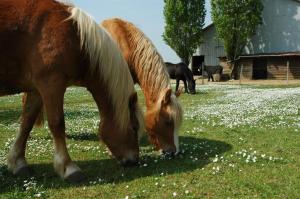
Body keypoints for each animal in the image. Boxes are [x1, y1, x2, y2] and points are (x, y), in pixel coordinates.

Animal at [0, 0, 144, 181]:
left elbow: (26, 123)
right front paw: (68, 167)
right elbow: (57, 123)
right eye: (134, 127)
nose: (134, 160)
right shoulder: (51, 84)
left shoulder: (36, 89)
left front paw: (18, 162)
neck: (74, 34)